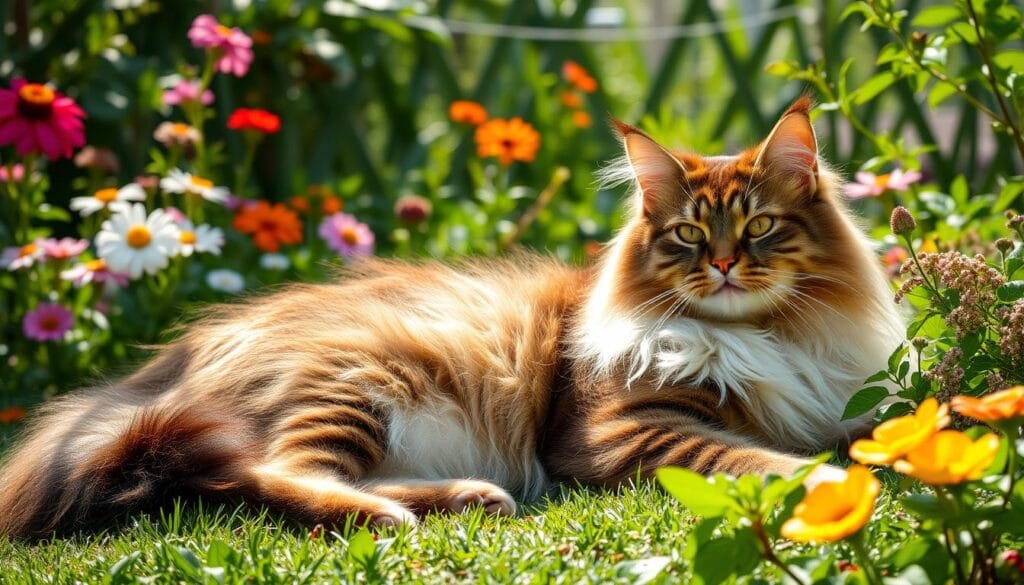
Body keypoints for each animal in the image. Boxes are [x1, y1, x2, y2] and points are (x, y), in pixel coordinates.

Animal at [0, 97, 901, 540]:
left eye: (759, 227)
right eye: (687, 233)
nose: (721, 265)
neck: (769, 337)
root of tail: (152, 375)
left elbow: (864, 429)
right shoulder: (618, 429)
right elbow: (750, 457)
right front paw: (838, 479)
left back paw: (472, 497)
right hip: (351, 380)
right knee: (266, 476)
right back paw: (392, 514)